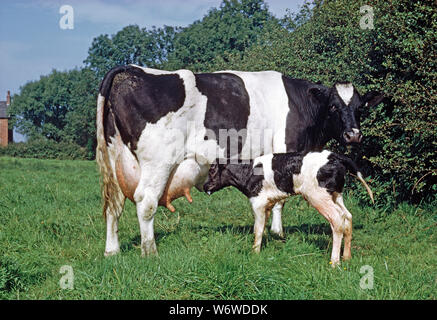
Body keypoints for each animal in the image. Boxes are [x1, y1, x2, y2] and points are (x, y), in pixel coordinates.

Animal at [203, 151, 372, 266]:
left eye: (212, 170)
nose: (204, 186)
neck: (248, 172)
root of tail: (333, 155)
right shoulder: (267, 204)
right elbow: (262, 228)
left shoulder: (258, 203)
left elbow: (257, 230)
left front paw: (254, 253)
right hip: (336, 195)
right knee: (348, 216)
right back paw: (347, 257)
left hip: (318, 196)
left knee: (337, 220)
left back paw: (335, 262)